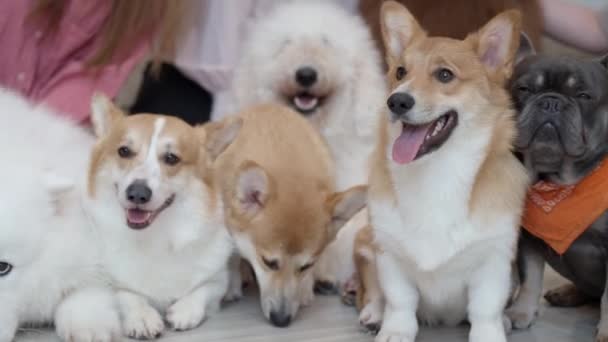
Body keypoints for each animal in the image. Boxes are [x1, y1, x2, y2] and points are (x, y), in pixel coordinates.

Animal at [85, 95, 238, 340]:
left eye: (171, 158)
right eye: (124, 151)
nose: (137, 193)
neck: (155, 236)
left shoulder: (215, 280)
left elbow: (204, 290)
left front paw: (185, 310)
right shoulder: (108, 282)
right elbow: (127, 294)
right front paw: (142, 316)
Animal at [210, 103, 366, 326]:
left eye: (306, 265)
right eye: (268, 262)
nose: (281, 320)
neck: (288, 165)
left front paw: (305, 289)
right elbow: (231, 256)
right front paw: (232, 284)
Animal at [364, 2, 528, 342]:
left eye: (444, 75)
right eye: (400, 72)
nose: (396, 101)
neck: (437, 174)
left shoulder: (493, 260)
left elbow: (485, 310)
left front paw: (490, 334)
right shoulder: (388, 254)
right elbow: (399, 301)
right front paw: (394, 331)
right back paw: (373, 314)